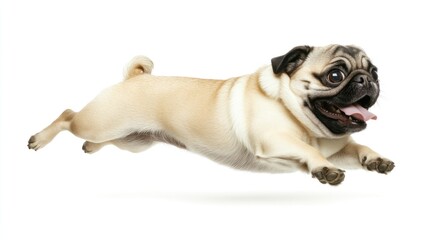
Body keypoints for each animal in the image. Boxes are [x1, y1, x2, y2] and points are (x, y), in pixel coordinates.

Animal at [26, 44, 394, 185]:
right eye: (335, 75)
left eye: (375, 71)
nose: (367, 80)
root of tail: (134, 78)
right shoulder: (273, 140)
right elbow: (306, 150)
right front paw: (323, 169)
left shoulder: (338, 147)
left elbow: (359, 148)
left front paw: (375, 159)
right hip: (100, 122)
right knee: (68, 114)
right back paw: (38, 139)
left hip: (133, 141)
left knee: (101, 139)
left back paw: (90, 148)